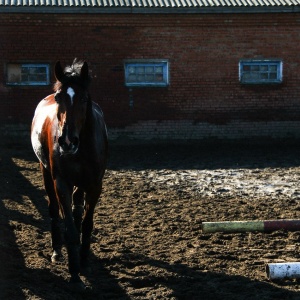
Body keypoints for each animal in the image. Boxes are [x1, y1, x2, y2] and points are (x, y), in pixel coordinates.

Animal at [30, 57, 108, 290]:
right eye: (59, 97)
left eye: (83, 98)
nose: (66, 141)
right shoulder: (61, 182)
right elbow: (71, 229)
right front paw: (74, 272)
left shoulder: (95, 185)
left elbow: (86, 224)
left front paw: (84, 262)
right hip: (46, 172)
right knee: (54, 209)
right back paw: (57, 250)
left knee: (77, 210)